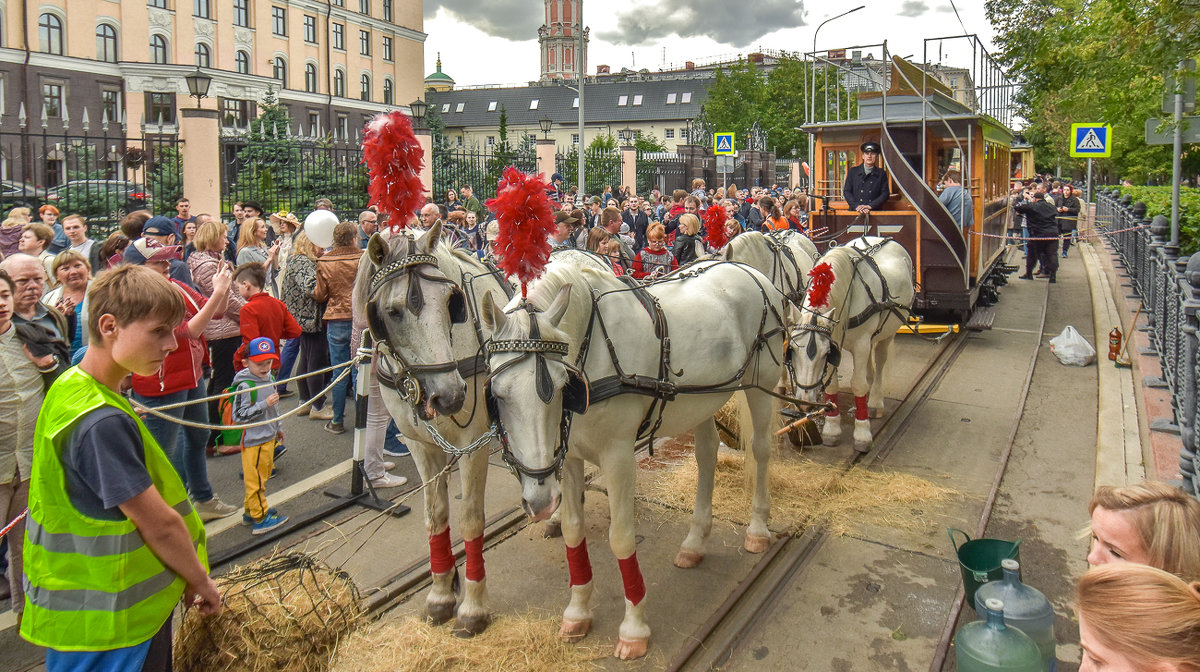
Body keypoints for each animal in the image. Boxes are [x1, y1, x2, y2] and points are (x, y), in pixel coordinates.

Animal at [477, 166, 787, 657]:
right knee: (706, 456)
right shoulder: (567, 456)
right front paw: (577, 613)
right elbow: (573, 530)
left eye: (559, 388)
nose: (537, 501)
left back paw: (757, 529)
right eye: (498, 394)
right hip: (703, 398)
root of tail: (744, 268)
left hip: (760, 388)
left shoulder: (620, 457)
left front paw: (634, 629)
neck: (591, 357)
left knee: (759, 450)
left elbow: (620, 537)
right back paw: (695, 541)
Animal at [787, 236, 907, 451]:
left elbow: (858, 385)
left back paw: (874, 402)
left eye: (826, 354)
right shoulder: (837, 339)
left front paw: (862, 434)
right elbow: (832, 385)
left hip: (888, 333)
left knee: (880, 359)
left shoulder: (859, 343)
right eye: (791, 349)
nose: (806, 403)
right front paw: (832, 429)